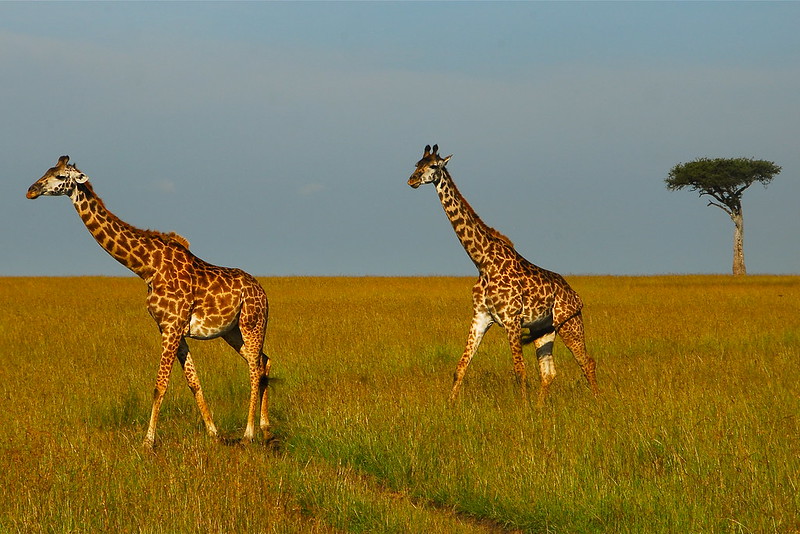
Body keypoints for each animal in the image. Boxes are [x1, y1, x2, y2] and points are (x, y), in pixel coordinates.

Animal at [27, 156, 271, 448]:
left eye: (61, 176)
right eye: (47, 170)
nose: (31, 190)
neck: (146, 268)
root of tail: (263, 292)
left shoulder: (173, 327)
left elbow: (160, 385)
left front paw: (148, 441)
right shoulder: (169, 328)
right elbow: (193, 382)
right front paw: (213, 433)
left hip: (252, 323)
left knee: (255, 369)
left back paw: (249, 433)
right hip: (231, 332)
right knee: (262, 362)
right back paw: (266, 428)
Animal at [408, 145, 599, 404]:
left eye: (434, 166)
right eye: (416, 164)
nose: (412, 180)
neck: (482, 261)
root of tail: (576, 296)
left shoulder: (511, 319)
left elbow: (519, 370)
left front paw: (523, 407)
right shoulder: (480, 317)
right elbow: (461, 367)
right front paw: (449, 405)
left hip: (570, 324)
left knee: (587, 362)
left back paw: (598, 402)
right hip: (543, 330)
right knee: (548, 372)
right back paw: (541, 408)